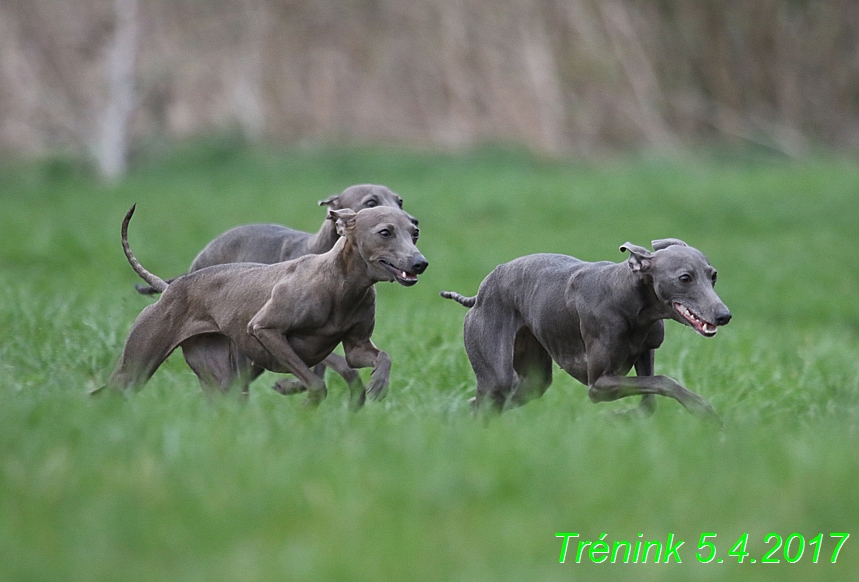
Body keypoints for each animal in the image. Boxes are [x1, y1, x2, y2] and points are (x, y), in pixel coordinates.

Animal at [444, 240, 732, 422]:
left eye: (713, 275)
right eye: (685, 278)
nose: (724, 316)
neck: (626, 296)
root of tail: (480, 293)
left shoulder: (646, 350)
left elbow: (650, 399)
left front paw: (621, 417)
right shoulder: (599, 385)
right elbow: (663, 381)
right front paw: (702, 409)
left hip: (532, 378)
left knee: (484, 402)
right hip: (496, 373)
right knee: (490, 395)